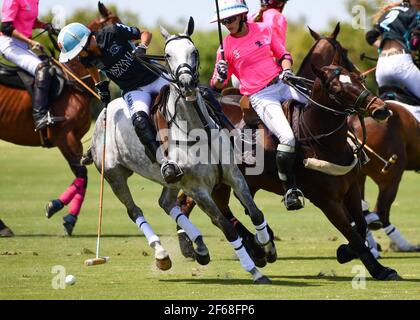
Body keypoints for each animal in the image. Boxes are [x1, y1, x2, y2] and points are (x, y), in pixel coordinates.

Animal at [88, 16, 274, 282]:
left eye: (194, 51)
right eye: (167, 55)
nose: (186, 84)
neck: (198, 129)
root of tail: (104, 112)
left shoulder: (233, 174)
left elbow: (255, 212)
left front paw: (266, 246)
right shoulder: (197, 189)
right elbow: (226, 227)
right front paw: (254, 270)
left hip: (170, 179)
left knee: (166, 203)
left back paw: (200, 248)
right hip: (114, 174)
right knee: (134, 210)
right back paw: (162, 255)